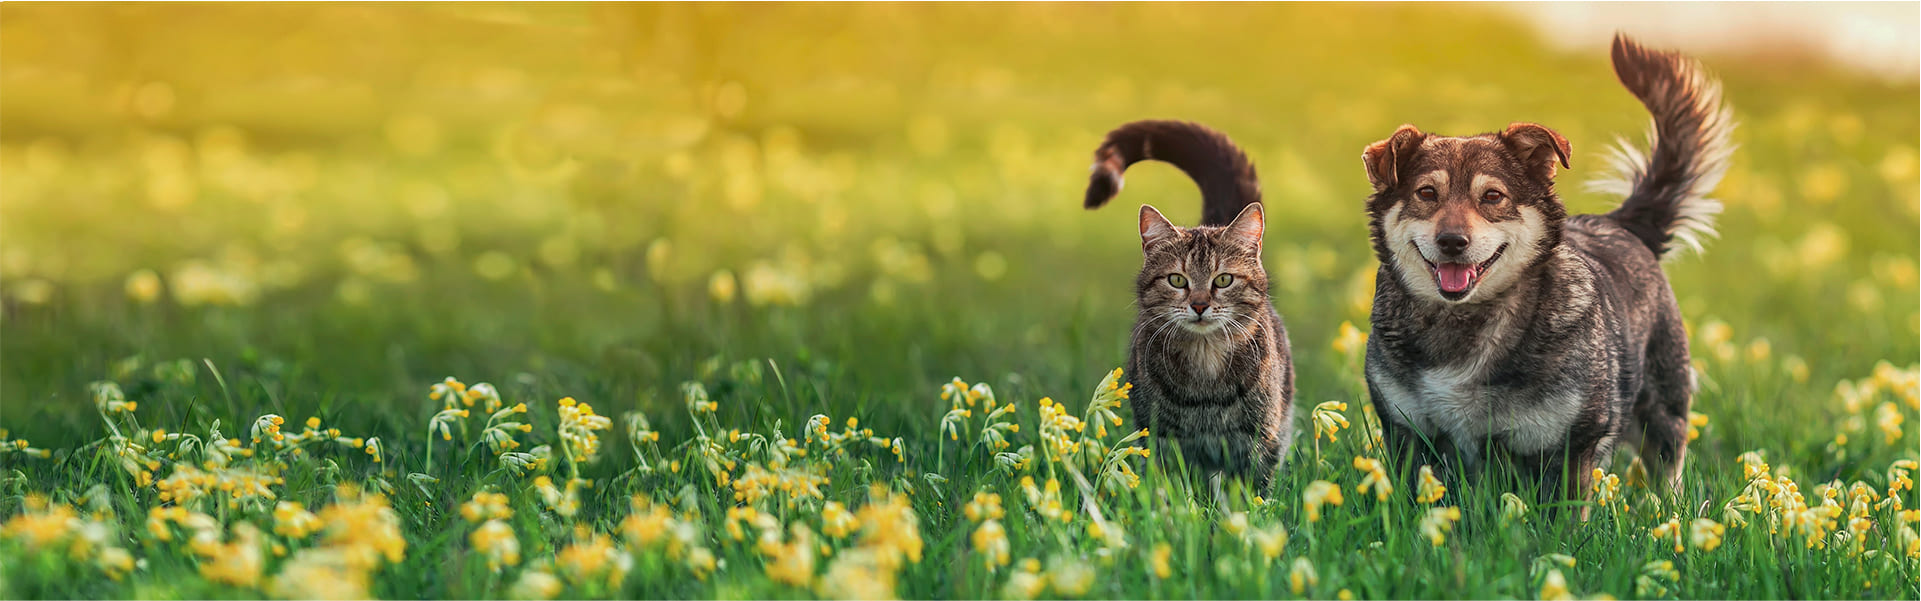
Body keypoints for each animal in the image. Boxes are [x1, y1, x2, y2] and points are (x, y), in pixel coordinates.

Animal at [1091, 119, 1298, 495]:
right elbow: (1170, 490)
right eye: (1177, 280)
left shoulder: (1261, 439)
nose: (1200, 305)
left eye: (1223, 280)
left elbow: (1253, 493)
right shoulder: (1162, 438)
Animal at [1352, 35, 1744, 503]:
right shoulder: (1408, 433)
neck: (1464, 323)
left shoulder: (1568, 445)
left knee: (1668, 468)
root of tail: (1621, 223)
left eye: (1493, 196)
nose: (1452, 242)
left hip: (1663, 410)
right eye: (1427, 193)